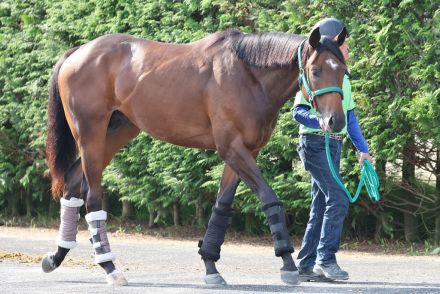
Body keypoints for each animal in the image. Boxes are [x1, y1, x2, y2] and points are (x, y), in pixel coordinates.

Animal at [42, 26, 348, 286]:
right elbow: (269, 199)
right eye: (316, 71)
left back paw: (56, 256)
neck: (248, 75)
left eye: (343, 70)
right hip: (90, 135)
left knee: (72, 183)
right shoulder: (232, 149)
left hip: (117, 131)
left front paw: (211, 266)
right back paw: (109, 267)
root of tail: (77, 52)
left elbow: (222, 206)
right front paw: (287, 263)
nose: (336, 122)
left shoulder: (243, 152)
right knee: (92, 197)